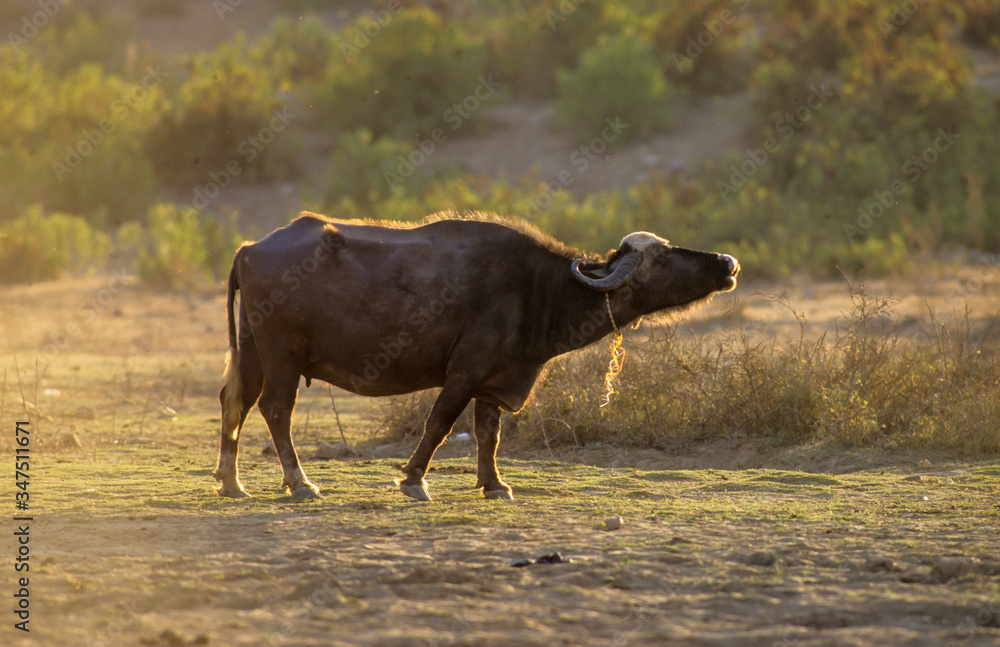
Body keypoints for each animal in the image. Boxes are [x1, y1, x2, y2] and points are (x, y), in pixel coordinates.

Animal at [215, 213, 740, 502]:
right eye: (664, 257)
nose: (728, 262)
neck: (537, 289)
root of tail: (248, 248)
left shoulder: (494, 381)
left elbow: (489, 435)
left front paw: (494, 485)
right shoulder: (465, 372)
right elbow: (440, 423)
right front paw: (414, 481)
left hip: (251, 353)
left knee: (234, 403)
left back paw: (231, 482)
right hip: (284, 356)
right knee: (275, 410)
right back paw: (300, 483)